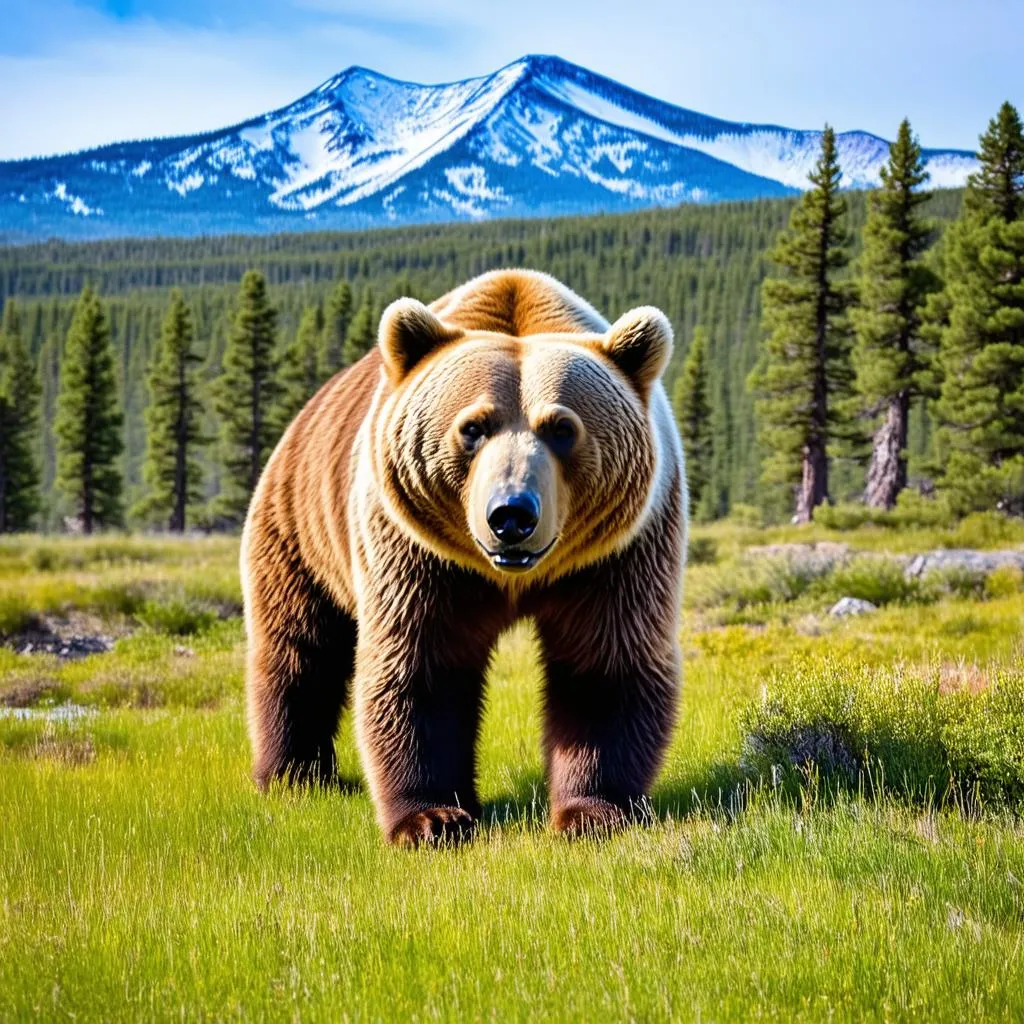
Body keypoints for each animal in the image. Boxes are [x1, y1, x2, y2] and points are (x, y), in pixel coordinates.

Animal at [242, 268, 684, 843]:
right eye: (473, 426)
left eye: (562, 428)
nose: (511, 514)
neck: (512, 577)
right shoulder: (416, 554)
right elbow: (422, 665)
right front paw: (432, 818)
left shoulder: (616, 557)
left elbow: (604, 666)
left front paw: (595, 811)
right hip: (299, 530)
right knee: (299, 648)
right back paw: (294, 775)